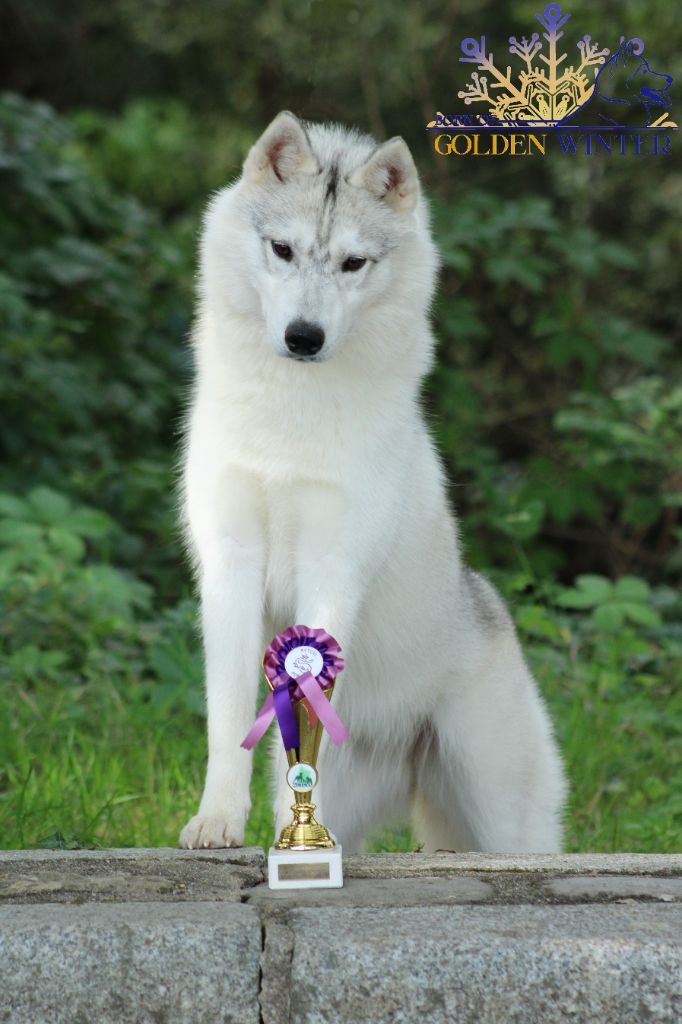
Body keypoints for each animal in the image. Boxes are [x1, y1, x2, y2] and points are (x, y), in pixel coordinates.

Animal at [178, 110, 565, 856]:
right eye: (282, 250)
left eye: (353, 264)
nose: (304, 337)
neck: (291, 418)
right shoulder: (231, 566)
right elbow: (227, 720)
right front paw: (219, 823)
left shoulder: (331, 568)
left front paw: (290, 837)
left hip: (504, 822)